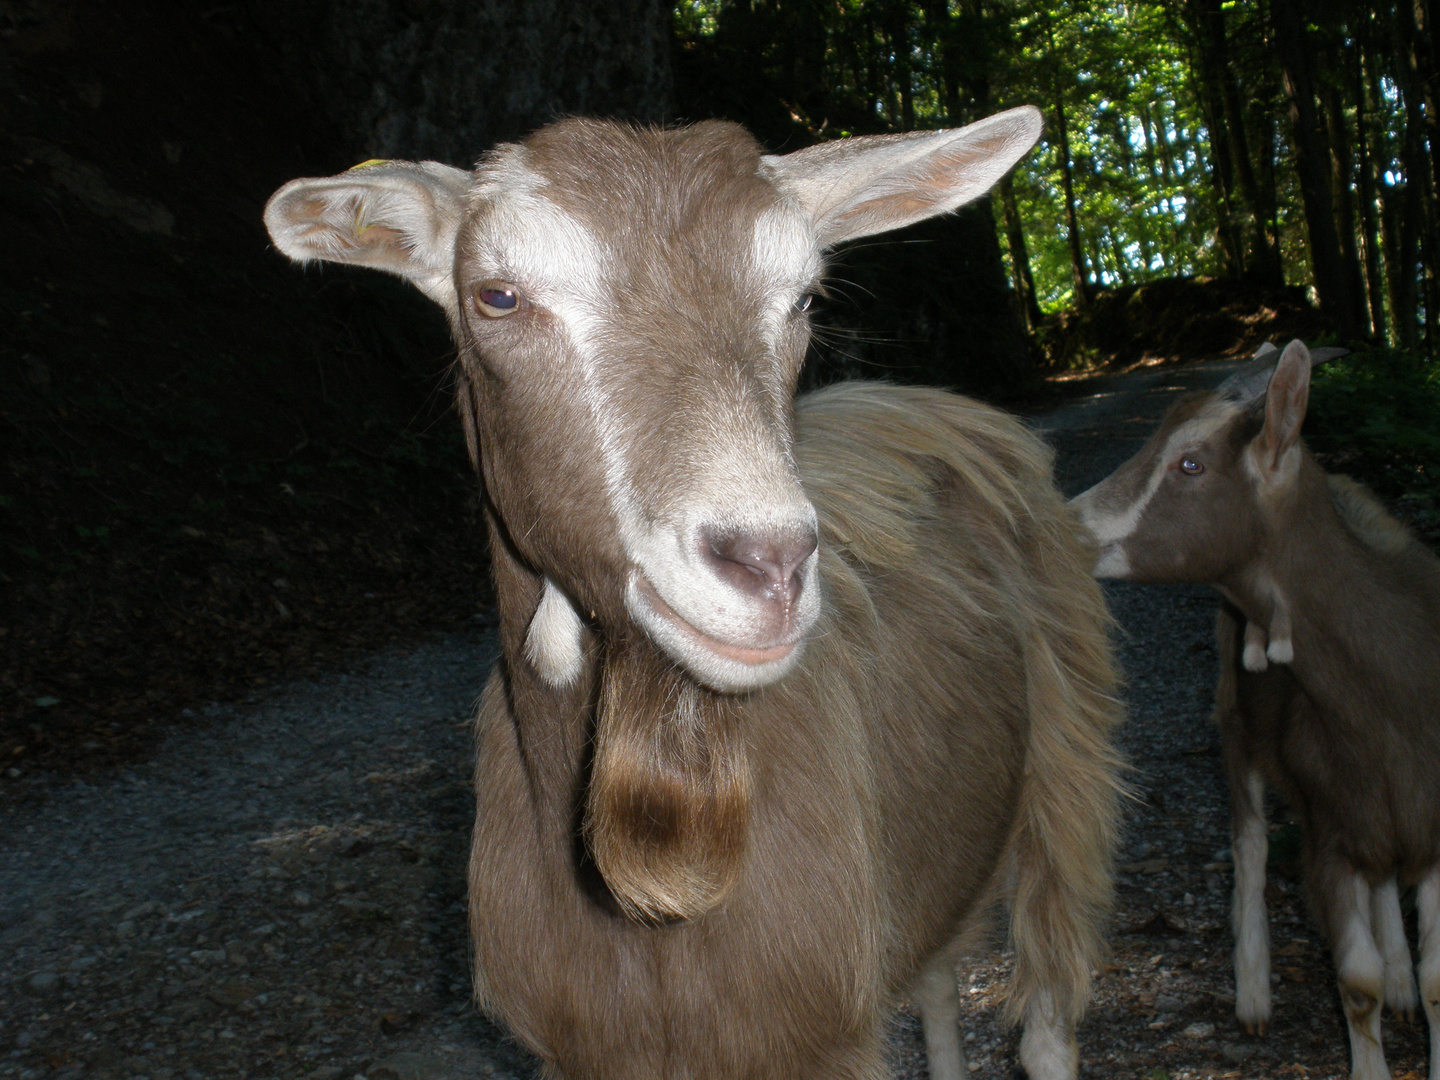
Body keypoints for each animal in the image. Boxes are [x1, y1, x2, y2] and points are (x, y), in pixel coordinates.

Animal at [270, 114, 1123, 1077]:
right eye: (497, 296)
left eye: (804, 299)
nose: (770, 565)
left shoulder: (822, 1037)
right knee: (939, 975)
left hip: (1068, 751)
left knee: (1047, 1004)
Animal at [1071, 339, 1440, 1080]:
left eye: (1190, 464)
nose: (1063, 523)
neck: (1391, 701)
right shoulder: (1329, 830)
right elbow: (1355, 982)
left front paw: (1409, 986)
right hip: (1234, 715)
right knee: (1249, 841)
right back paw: (1254, 993)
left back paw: (1399, 975)